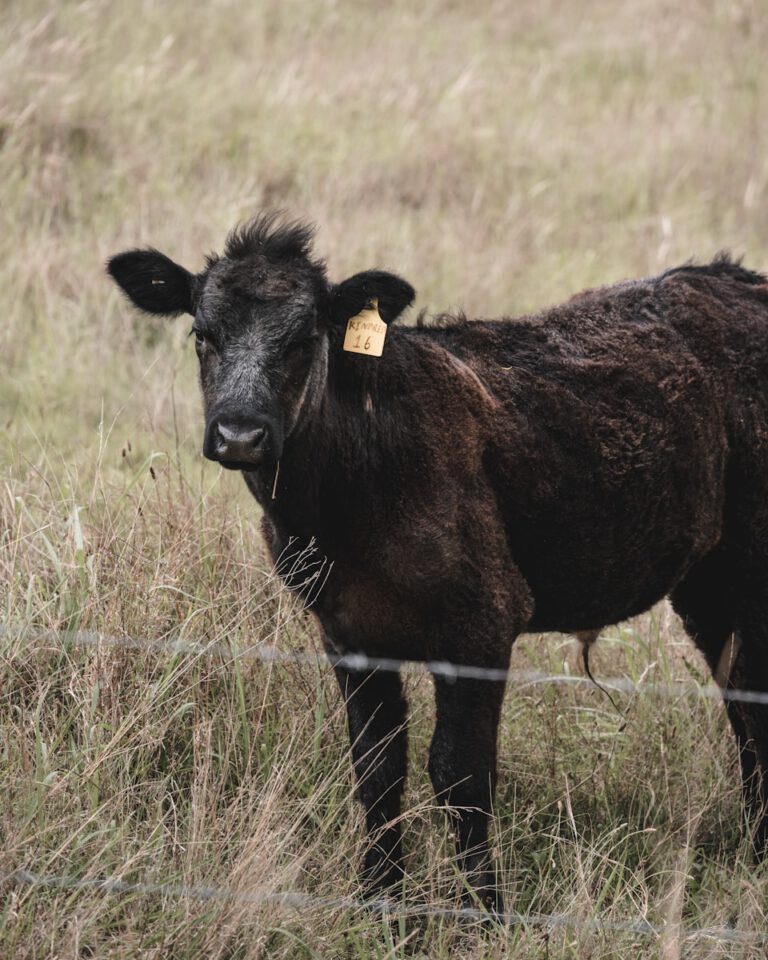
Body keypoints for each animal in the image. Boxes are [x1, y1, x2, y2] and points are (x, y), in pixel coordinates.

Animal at [107, 214, 768, 914]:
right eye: (202, 334)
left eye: (305, 338)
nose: (239, 434)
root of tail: (732, 276)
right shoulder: (347, 630)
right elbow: (376, 768)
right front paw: (379, 901)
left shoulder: (483, 618)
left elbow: (461, 774)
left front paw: (482, 912)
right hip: (707, 581)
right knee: (739, 698)